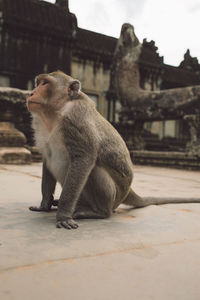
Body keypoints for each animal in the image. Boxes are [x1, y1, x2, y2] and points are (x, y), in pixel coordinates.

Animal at [27, 71, 200, 230]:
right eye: (38, 82)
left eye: (45, 83)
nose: (31, 92)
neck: (56, 113)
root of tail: (127, 191)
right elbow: (47, 158)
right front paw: (44, 205)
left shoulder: (76, 119)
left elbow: (84, 158)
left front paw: (63, 215)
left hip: (113, 197)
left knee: (94, 170)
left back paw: (98, 212)